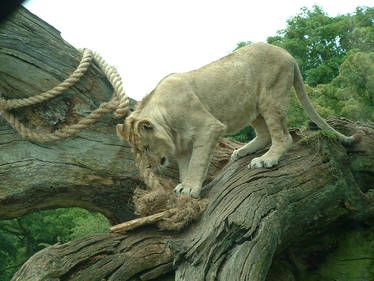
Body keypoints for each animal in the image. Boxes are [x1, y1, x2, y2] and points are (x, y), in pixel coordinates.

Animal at [117, 42, 356, 198]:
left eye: (146, 147)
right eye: (137, 151)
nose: (150, 167)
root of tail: (287, 54)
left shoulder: (208, 127)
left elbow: (197, 161)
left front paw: (190, 188)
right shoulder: (183, 143)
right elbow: (185, 165)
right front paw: (183, 186)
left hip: (270, 97)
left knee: (283, 137)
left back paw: (265, 159)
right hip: (252, 106)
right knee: (264, 134)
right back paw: (241, 151)